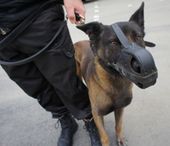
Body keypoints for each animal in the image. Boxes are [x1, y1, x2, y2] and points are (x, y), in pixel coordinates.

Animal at [73, 2, 155, 146]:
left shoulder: (120, 108)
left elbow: (119, 126)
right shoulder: (97, 114)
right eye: (114, 43)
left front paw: (120, 139)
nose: (145, 65)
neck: (116, 81)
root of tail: (79, 42)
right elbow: (104, 136)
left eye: (138, 37)